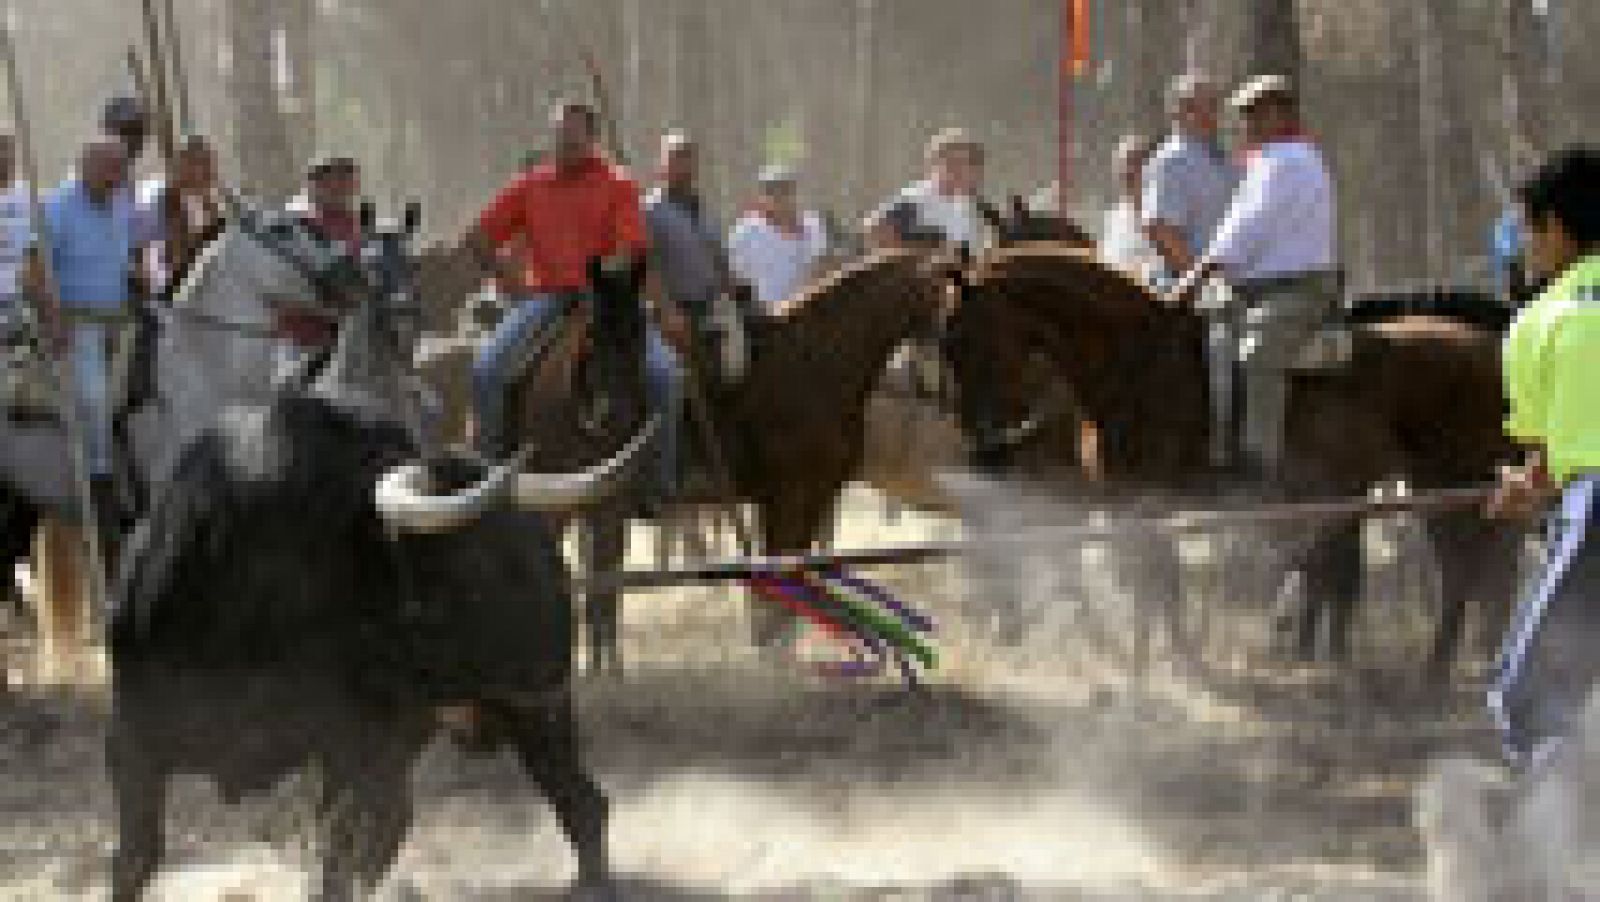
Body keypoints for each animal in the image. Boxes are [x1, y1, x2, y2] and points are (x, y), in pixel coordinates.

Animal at [106, 395, 604, 902]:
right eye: (476, 566)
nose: (557, 656)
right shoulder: (130, 738)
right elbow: (134, 858)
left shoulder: (351, 745)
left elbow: (337, 850)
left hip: (527, 720)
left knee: (580, 801)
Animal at [940, 246, 1516, 678]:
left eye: (962, 338)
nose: (983, 448)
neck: (1136, 361)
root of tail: (1492, 347)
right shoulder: (1133, 504)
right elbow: (1162, 586)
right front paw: (1176, 663)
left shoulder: (1145, 500)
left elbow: (1155, 585)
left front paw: (1153, 672)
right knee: (1462, 571)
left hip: (1447, 484)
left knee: (1464, 570)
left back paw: (1434, 676)